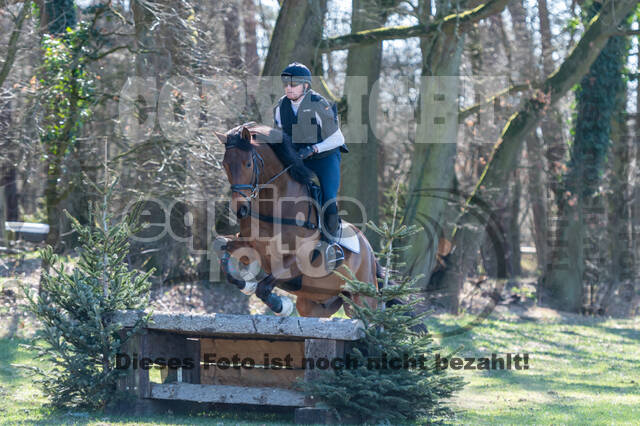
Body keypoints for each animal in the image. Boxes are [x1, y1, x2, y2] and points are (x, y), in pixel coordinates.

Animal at [212, 121, 380, 318]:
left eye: (247, 164)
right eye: (225, 165)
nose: (239, 209)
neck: (275, 208)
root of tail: (369, 250)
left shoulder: (300, 258)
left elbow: (264, 287)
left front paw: (280, 305)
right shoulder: (250, 245)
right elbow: (220, 243)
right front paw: (246, 284)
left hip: (363, 299)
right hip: (316, 305)